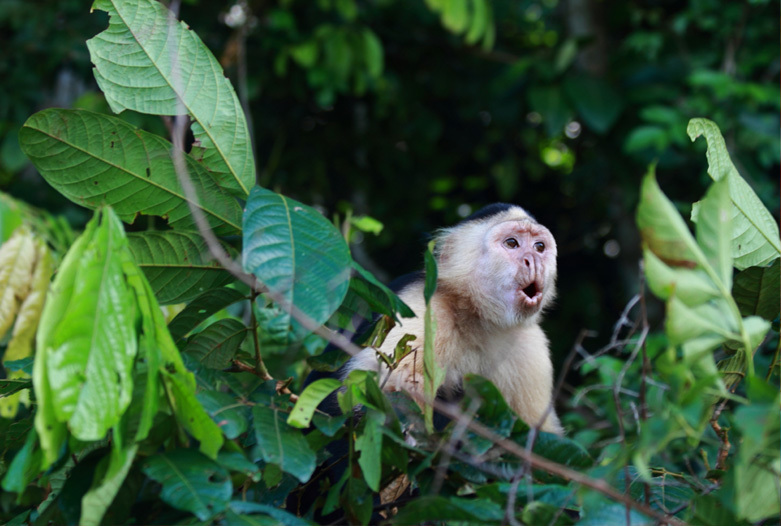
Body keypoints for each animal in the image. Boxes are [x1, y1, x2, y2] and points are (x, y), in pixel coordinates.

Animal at [344, 202, 564, 438]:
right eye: (512, 243)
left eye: (539, 247)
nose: (534, 261)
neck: (479, 317)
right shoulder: (423, 307)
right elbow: (368, 397)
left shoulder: (532, 347)